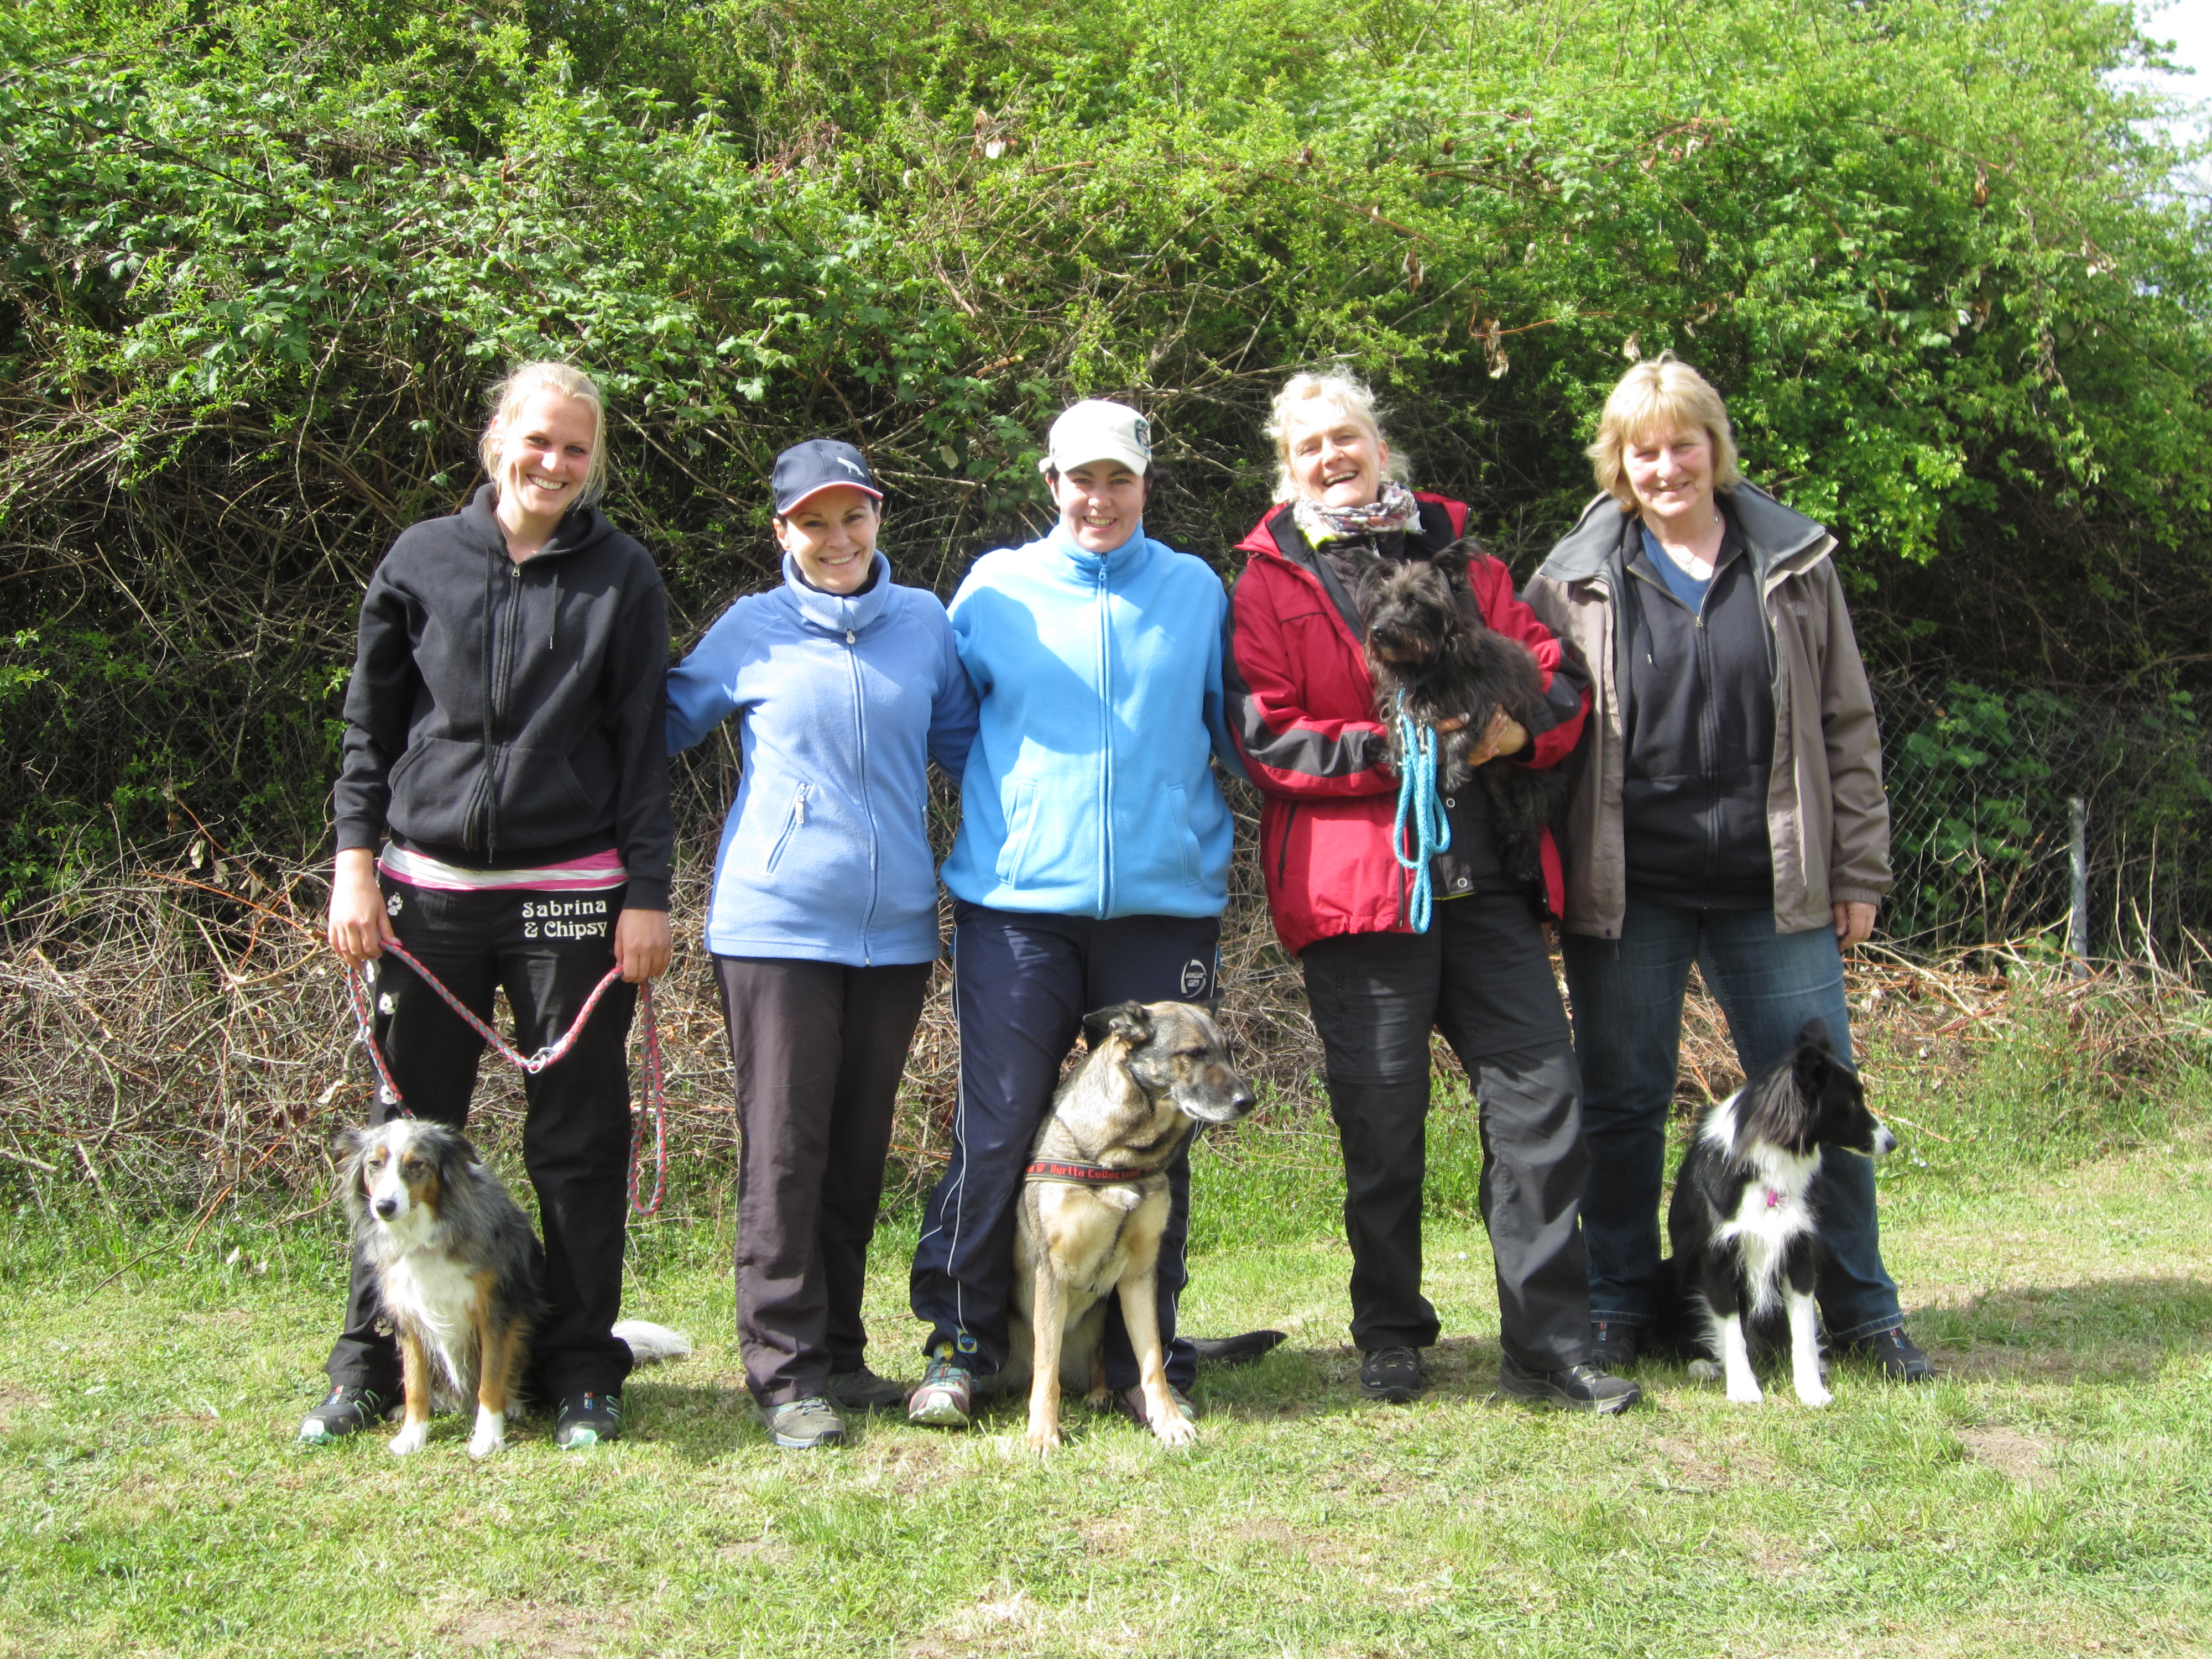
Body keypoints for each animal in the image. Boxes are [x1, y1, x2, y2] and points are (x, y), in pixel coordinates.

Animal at [341, 1124, 686, 1460]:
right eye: (374, 1164)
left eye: (416, 1165)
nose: (384, 1207)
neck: (428, 1233)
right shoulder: (409, 1315)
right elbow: (415, 1383)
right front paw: (413, 1435)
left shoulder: (496, 1313)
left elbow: (490, 1382)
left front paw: (488, 1437)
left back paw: (514, 1405)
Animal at [1009, 1000, 1256, 1451]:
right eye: (1194, 1054)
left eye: (1228, 1052)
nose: (1248, 1100)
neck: (1119, 1157)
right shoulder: (1053, 1272)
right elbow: (1046, 1369)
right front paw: (1043, 1433)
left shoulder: (1140, 1274)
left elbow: (1153, 1360)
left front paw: (1169, 1420)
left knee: (1098, 1362)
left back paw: (1101, 1392)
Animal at [1345, 540, 1575, 889]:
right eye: (1381, 603)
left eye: (1415, 601)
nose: (1380, 630)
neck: (1425, 667)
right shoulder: (1400, 702)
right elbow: (1398, 726)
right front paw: (1397, 754)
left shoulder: (1484, 704)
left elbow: (1462, 733)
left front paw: (1453, 769)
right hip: (1495, 778)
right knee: (1506, 806)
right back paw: (1507, 833)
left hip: (1533, 780)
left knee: (1530, 820)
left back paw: (1524, 862)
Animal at [1663, 1022, 1893, 1407]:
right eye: (1850, 1103)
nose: (1891, 1143)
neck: (1765, 1162)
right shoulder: (1718, 1257)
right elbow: (1732, 1330)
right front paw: (1743, 1388)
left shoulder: (1798, 1249)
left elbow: (1802, 1327)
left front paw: (1812, 1390)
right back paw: (1704, 1365)